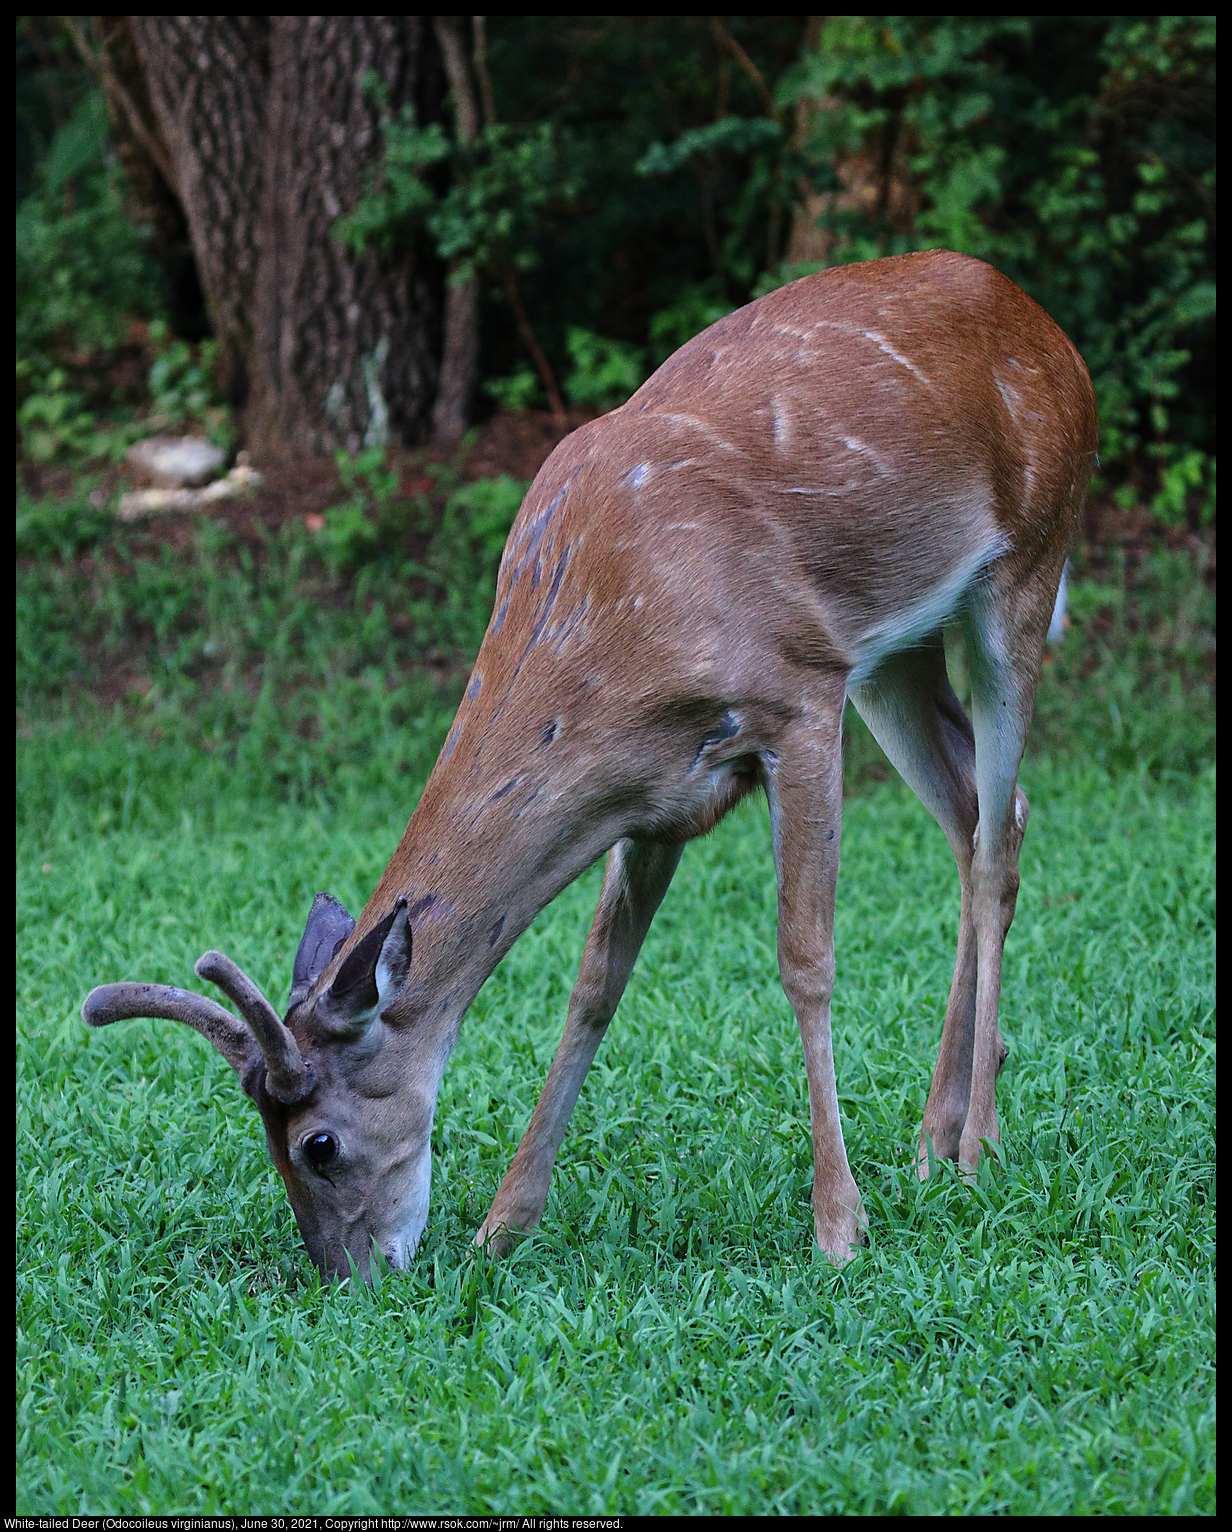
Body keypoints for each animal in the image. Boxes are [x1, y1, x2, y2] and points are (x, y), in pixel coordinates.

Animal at [81, 251, 1091, 1280]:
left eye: (317, 1144)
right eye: (267, 1143)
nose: (347, 1276)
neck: (611, 633)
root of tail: (1038, 316)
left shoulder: (799, 697)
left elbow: (805, 957)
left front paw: (839, 1227)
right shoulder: (653, 792)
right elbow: (595, 983)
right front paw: (503, 1223)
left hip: (1029, 561)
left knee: (996, 839)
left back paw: (977, 1147)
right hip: (895, 655)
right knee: (982, 815)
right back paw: (937, 1138)